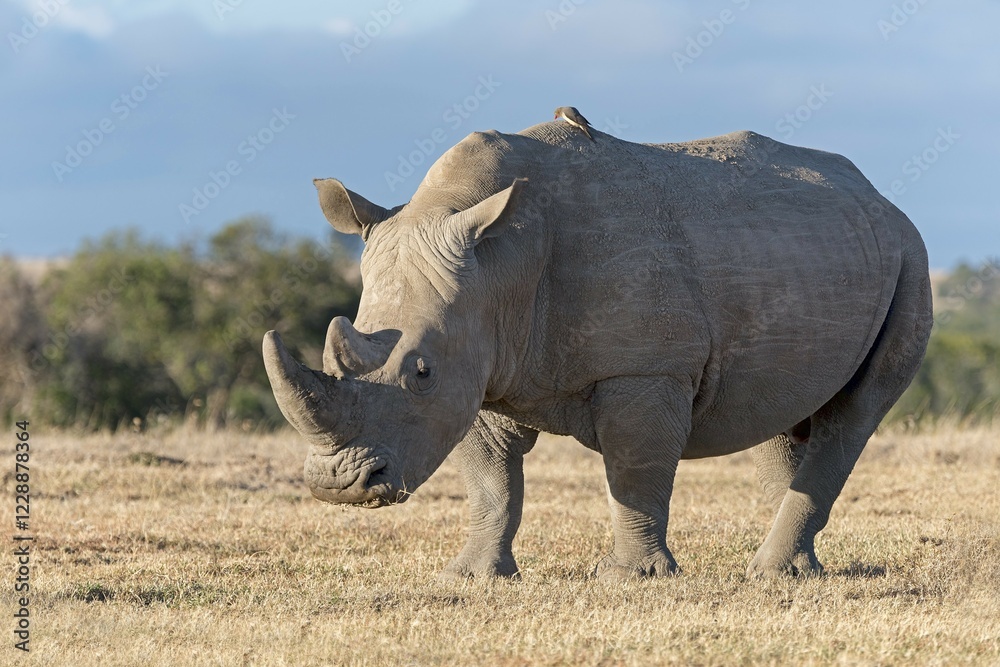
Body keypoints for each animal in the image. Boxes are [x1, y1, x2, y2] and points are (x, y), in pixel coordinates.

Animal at [262, 123, 932, 580]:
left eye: (420, 371)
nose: (339, 485)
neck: (499, 260)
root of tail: (880, 198)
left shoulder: (645, 369)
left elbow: (634, 470)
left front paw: (634, 579)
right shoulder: (480, 362)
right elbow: (490, 480)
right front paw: (472, 576)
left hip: (910, 256)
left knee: (853, 415)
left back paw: (773, 570)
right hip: (806, 251)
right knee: (782, 413)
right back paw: (791, 572)